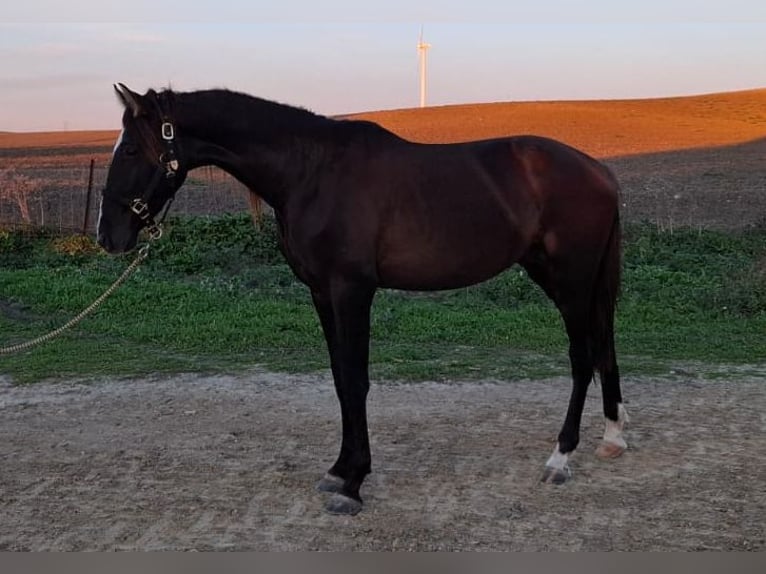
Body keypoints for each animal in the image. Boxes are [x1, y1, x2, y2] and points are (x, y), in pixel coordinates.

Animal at [97, 84, 632, 516]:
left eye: (130, 150)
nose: (108, 236)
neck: (312, 172)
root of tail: (599, 171)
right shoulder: (321, 293)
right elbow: (339, 379)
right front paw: (339, 468)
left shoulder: (351, 291)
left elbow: (356, 382)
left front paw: (353, 485)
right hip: (563, 278)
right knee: (604, 346)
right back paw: (613, 436)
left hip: (571, 282)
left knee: (582, 356)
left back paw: (560, 458)